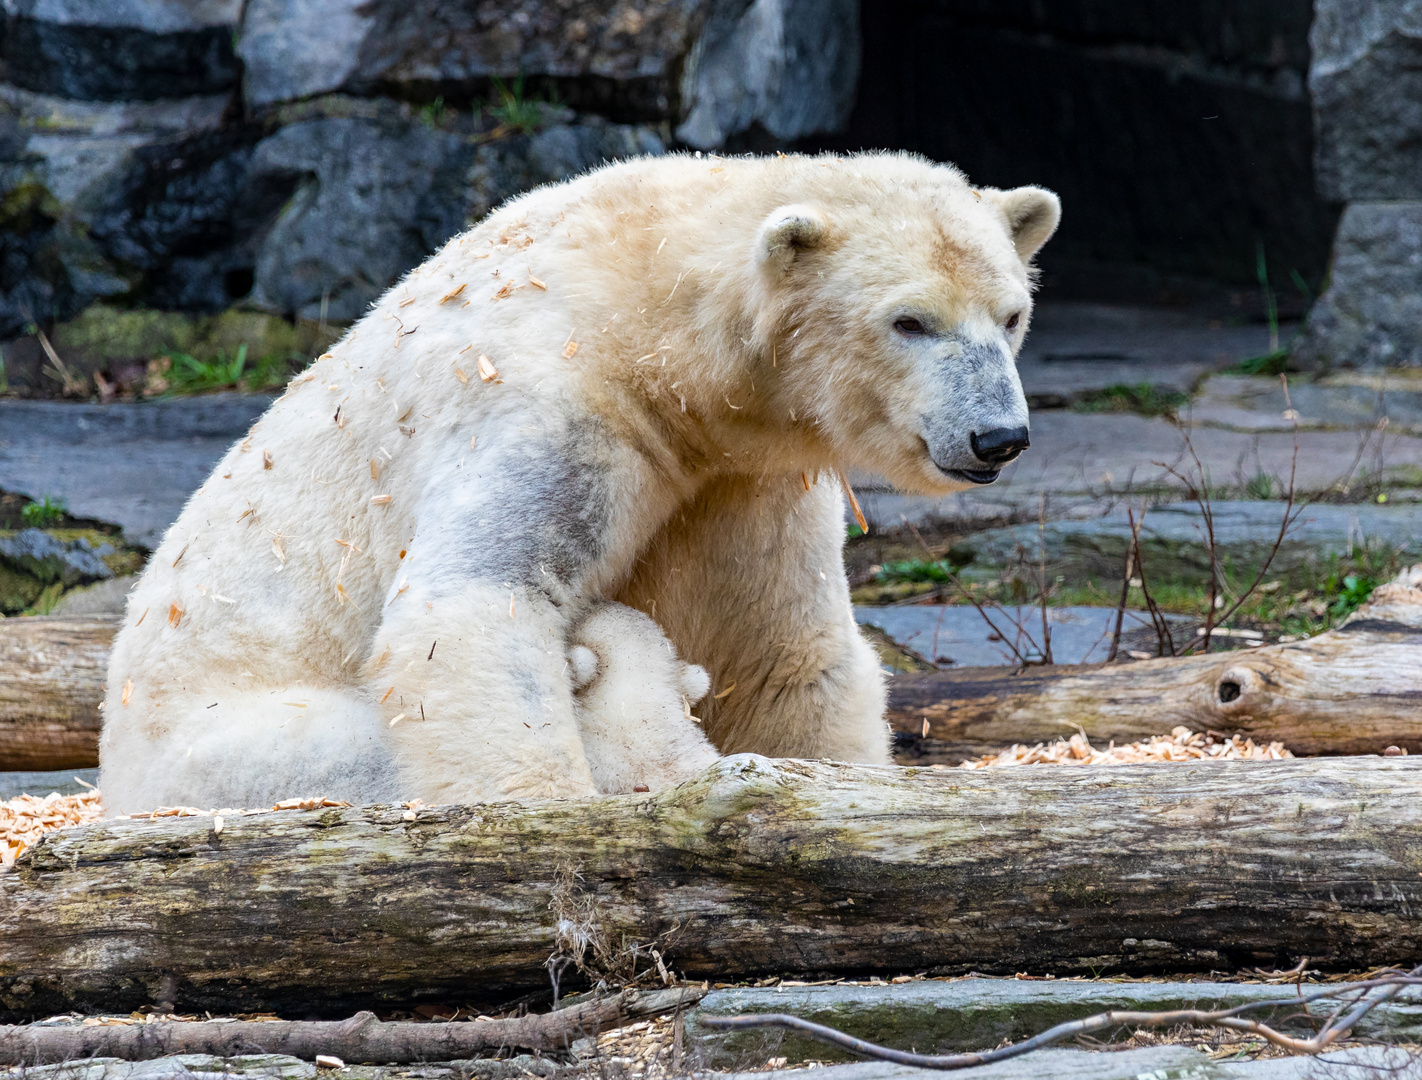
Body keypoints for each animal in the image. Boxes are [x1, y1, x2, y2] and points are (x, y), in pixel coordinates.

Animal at [97, 150, 1057, 808]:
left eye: (1012, 315)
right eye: (910, 321)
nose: (999, 436)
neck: (651, 316)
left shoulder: (740, 474)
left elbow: (778, 650)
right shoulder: (553, 398)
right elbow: (479, 602)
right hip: (230, 746)